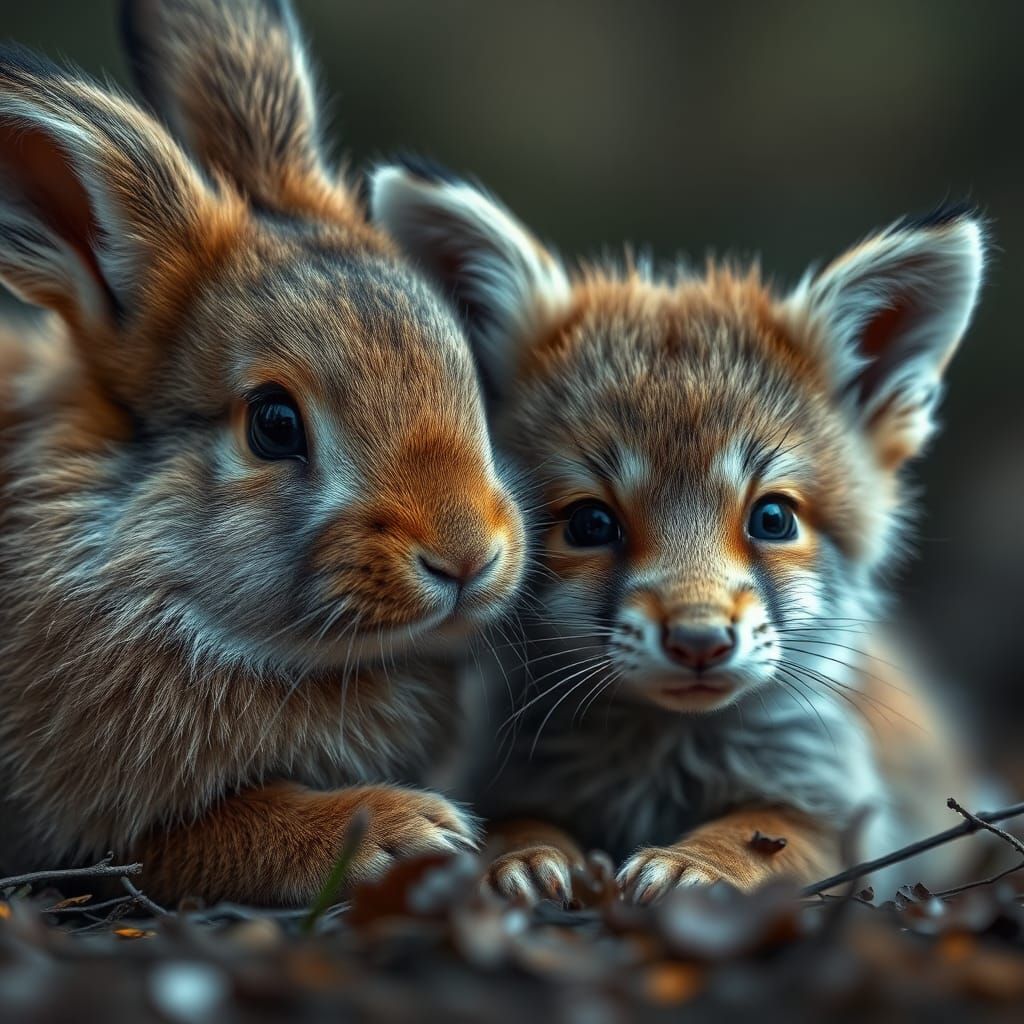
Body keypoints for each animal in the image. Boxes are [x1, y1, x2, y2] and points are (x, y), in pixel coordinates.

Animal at [0, 0, 525, 907]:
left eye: (460, 363)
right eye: (274, 424)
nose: (467, 556)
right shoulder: (89, 838)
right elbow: (211, 834)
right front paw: (405, 832)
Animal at [372, 160, 984, 903]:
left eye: (773, 518)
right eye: (591, 523)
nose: (700, 641)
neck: (661, 767)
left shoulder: (840, 816)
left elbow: (761, 839)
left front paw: (700, 865)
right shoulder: (497, 777)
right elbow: (509, 824)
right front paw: (521, 855)